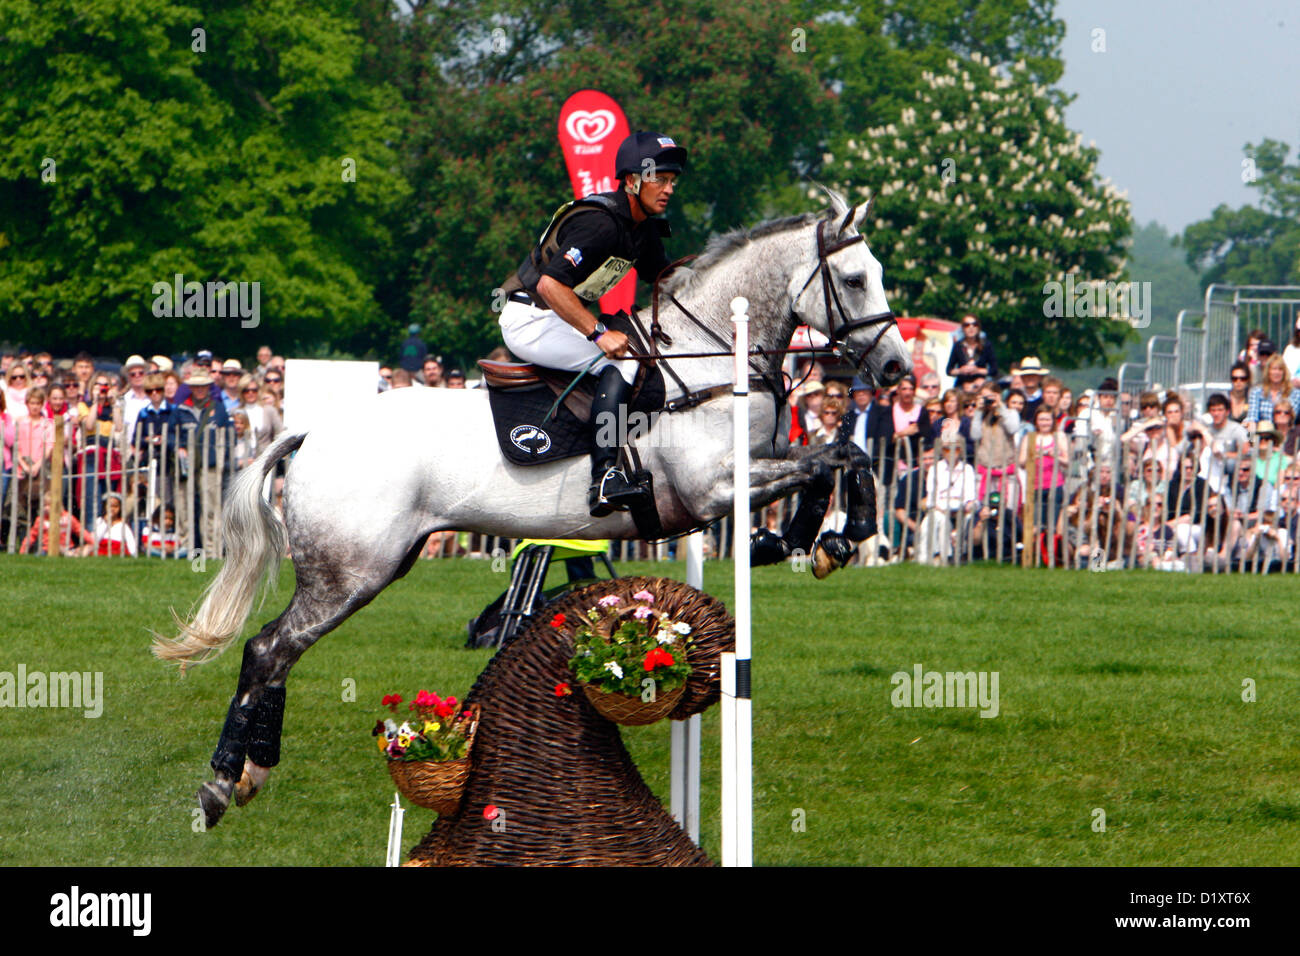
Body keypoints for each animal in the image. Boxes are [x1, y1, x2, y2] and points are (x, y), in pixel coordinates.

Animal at [159, 187, 915, 832]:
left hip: (372, 566)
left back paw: (251, 773)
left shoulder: (753, 469)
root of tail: (313, 431)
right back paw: (220, 785)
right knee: (267, 649)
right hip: (351, 573)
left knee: (277, 653)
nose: (899, 371)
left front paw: (814, 541)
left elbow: (839, 457)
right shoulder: (714, 488)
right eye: (855, 281)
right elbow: (833, 457)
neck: (703, 366)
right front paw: (826, 538)